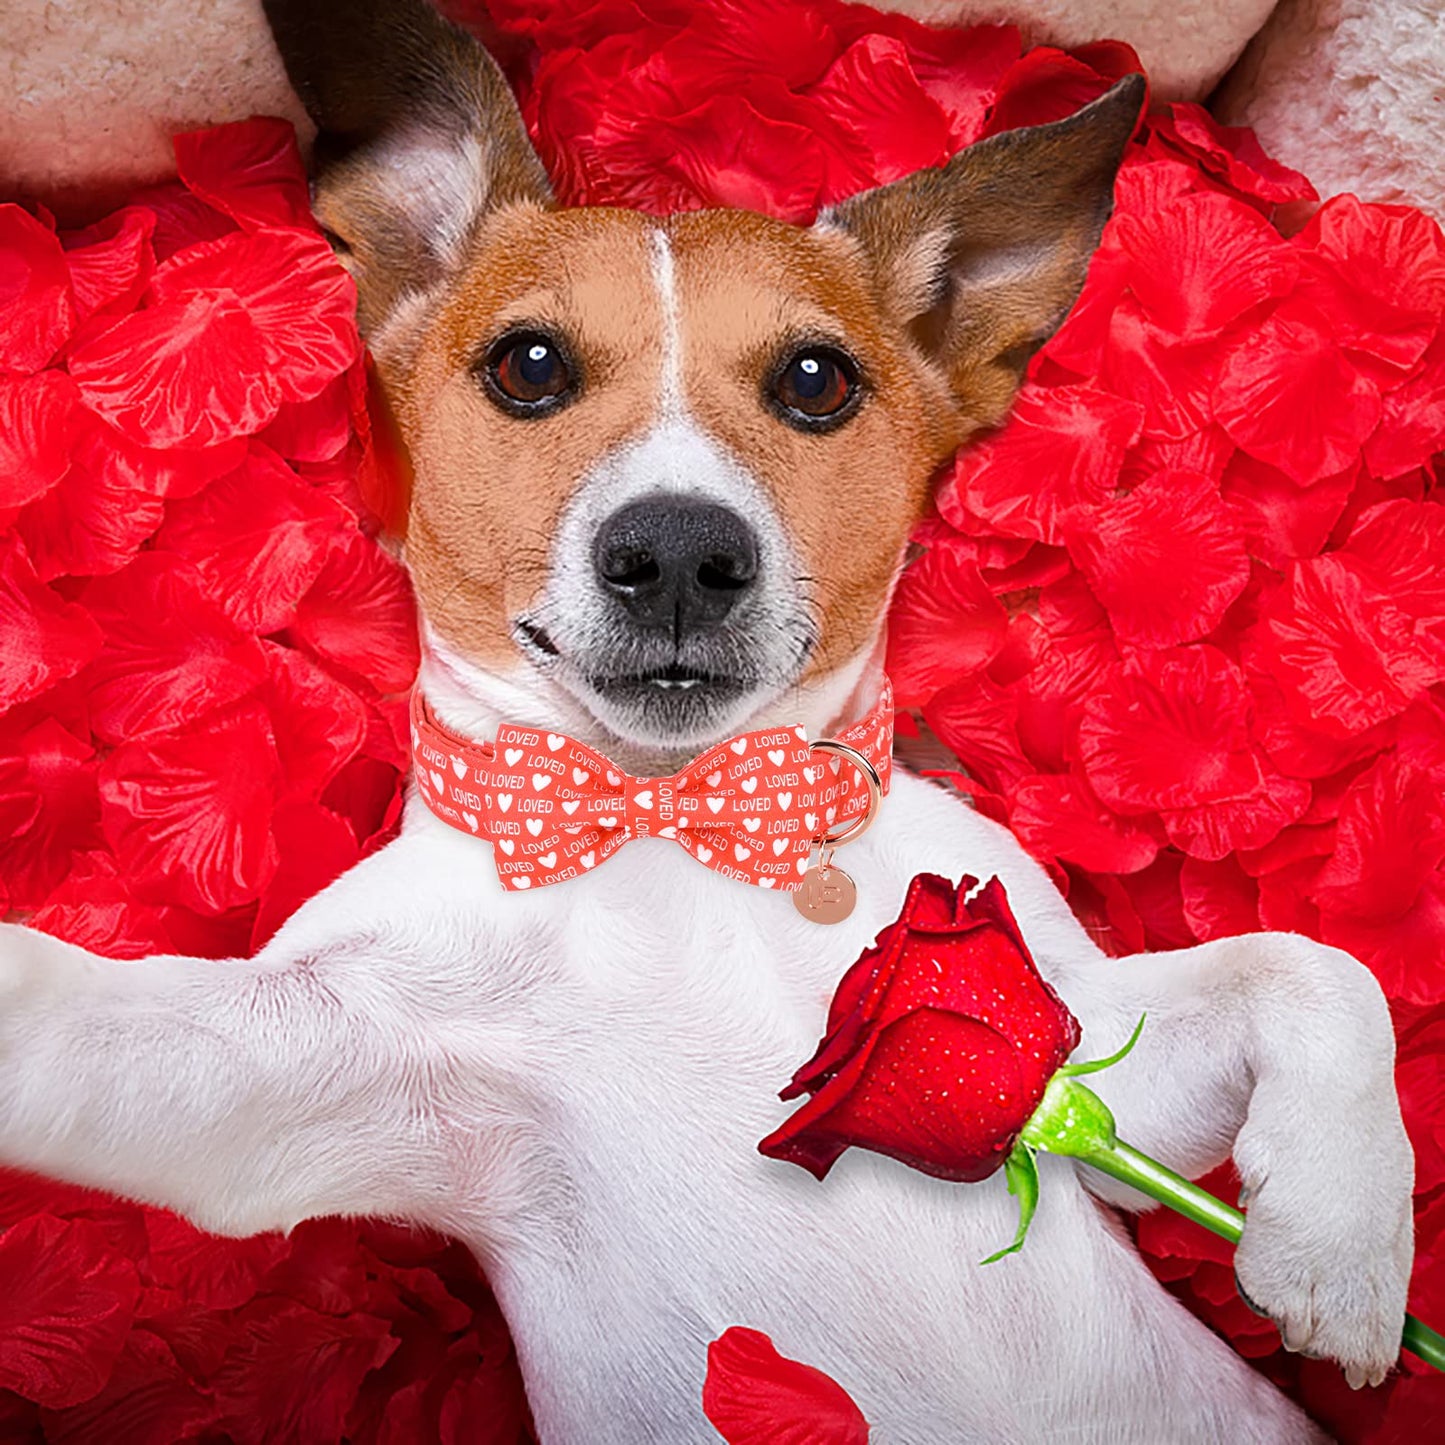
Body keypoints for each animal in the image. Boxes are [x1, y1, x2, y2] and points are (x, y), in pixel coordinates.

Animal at [0, 0, 1410, 1439]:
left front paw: (1340, 1247)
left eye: (814, 380)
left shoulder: (1074, 1067)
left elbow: (1314, 966)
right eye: (528, 365)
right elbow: (88, 1021)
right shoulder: (283, 1075)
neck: (672, 821)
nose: (677, 549)